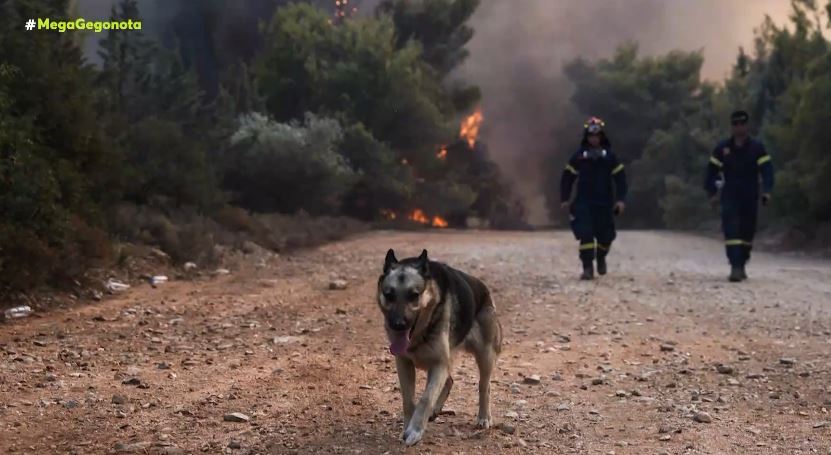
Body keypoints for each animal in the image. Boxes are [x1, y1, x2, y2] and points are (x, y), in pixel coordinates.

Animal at [376, 249, 500, 446]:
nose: (397, 324)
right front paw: (407, 427)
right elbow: (408, 400)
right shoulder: (404, 364)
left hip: (485, 356)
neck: (420, 333)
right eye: (389, 295)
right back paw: (436, 409)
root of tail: (484, 289)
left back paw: (483, 417)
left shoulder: (439, 364)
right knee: (450, 381)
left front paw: (415, 430)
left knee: (484, 386)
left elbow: (425, 399)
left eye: (414, 295)